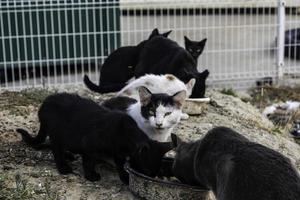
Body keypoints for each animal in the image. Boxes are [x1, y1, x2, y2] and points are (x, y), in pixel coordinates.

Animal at [16, 93, 175, 184]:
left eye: (154, 173)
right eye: (147, 171)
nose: (149, 178)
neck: (125, 135)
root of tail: (45, 102)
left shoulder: (118, 153)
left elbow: (119, 164)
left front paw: (124, 177)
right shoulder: (88, 145)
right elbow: (88, 161)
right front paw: (90, 175)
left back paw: (68, 155)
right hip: (57, 133)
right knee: (55, 148)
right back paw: (63, 166)